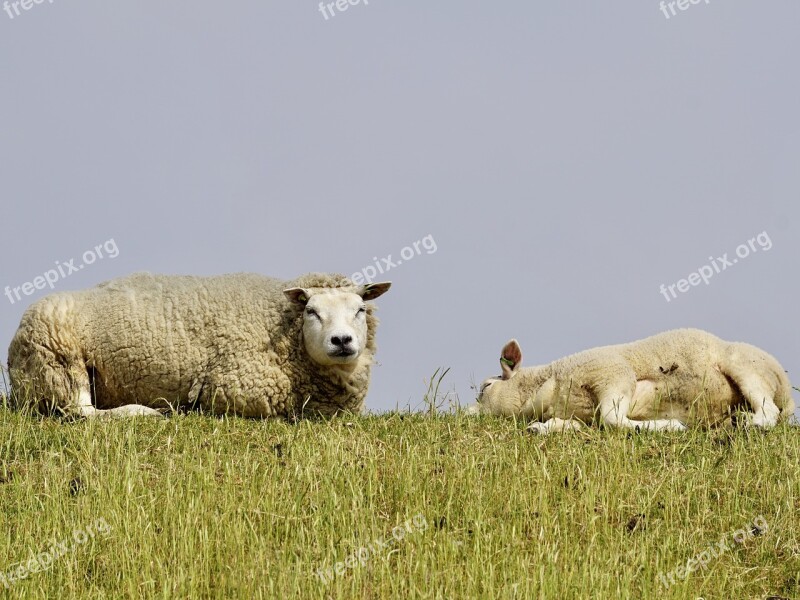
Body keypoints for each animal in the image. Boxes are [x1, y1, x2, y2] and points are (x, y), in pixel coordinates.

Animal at [5, 274, 394, 420]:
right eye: (312, 311)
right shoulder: (236, 389)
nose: (342, 341)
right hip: (59, 360)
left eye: (360, 309)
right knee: (81, 411)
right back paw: (145, 413)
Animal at [472, 330, 796, 434]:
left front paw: (670, 426)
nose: (470, 413)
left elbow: (613, 419)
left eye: (486, 387)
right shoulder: (583, 416)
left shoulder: (613, 373)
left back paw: (749, 423)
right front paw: (541, 429)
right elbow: (571, 425)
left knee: (769, 411)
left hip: (744, 365)